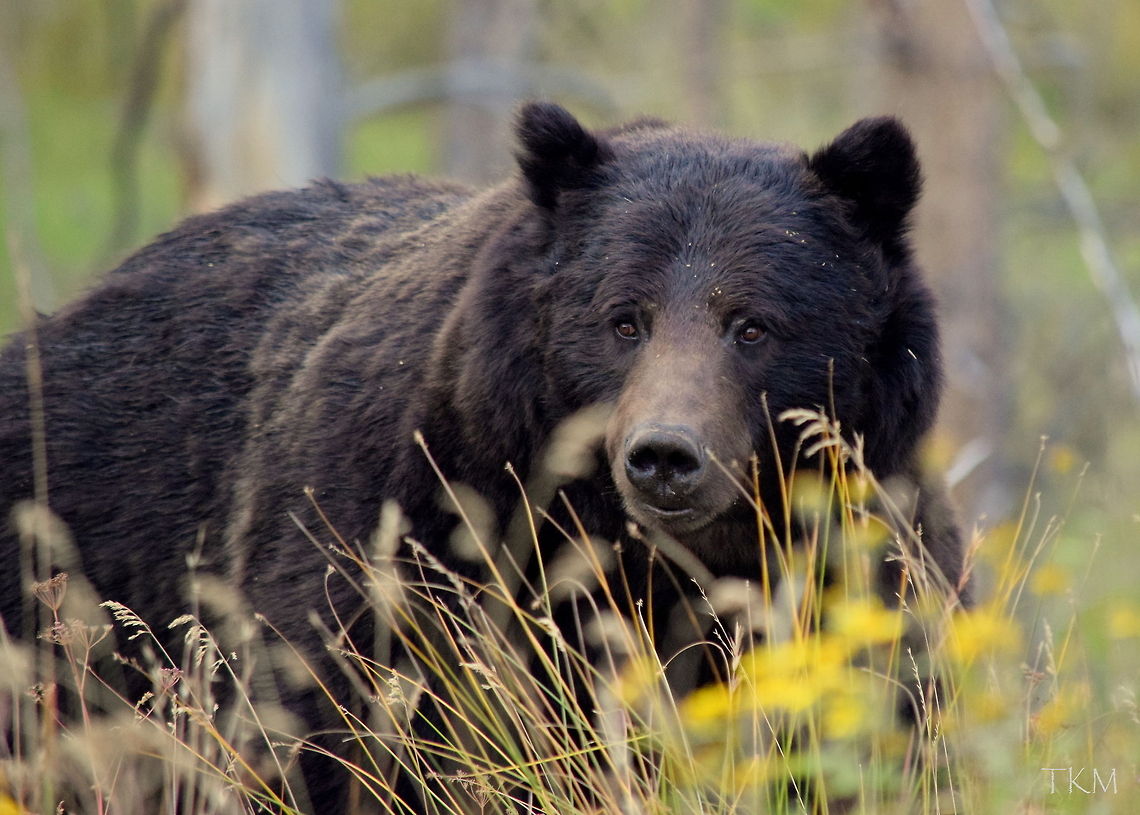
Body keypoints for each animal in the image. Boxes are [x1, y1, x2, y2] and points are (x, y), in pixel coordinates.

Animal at [0, 102, 966, 812]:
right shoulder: (407, 538)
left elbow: (881, 715)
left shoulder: (855, 565)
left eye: (753, 324)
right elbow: (330, 718)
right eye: (624, 317)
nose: (665, 456)